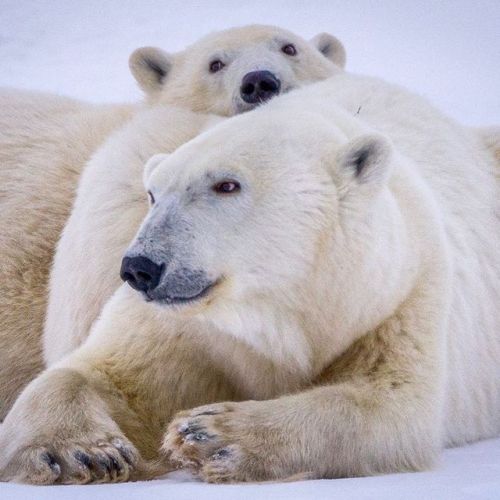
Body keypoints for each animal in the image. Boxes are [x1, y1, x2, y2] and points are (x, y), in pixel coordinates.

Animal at [1, 71, 498, 484]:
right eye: (154, 193)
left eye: (226, 184)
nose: (141, 267)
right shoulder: (181, 328)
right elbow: (106, 374)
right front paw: (82, 451)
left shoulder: (397, 295)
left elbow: (388, 405)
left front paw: (213, 434)